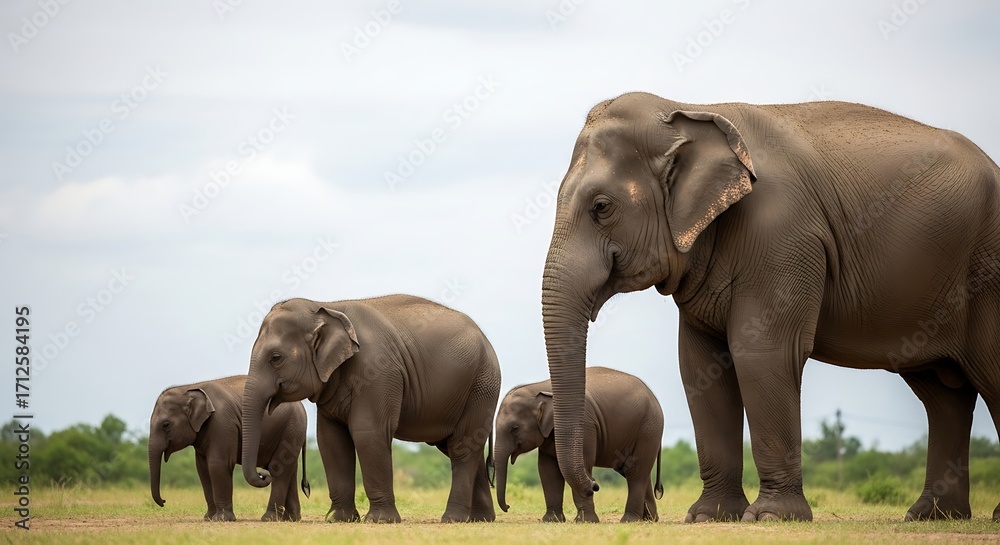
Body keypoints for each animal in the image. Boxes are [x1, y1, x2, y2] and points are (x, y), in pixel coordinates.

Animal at [148, 375, 310, 521]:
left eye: (166, 425)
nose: (164, 501)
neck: (188, 388)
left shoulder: (222, 423)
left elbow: (218, 463)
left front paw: (222, 519)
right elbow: (202, 468)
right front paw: (209, 518)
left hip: (291, 428)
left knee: (278, 468)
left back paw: (270, 518)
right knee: (290, 469)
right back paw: (291, 518)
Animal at [240, 295, 502, 523]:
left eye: (276, 358)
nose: (264, 474)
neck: (325, 306)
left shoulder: (379, 371)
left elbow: (368, 432)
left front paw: (380, 520)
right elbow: (331, 440)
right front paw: (339, 519)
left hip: (482, 385)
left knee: (462, 447)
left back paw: (452, 519)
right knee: (461, 446)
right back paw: (480, 519)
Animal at [495, 366, 664, 523]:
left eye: (514, 429)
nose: (508, 507)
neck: (538, 387)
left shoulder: (585, 426)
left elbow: (580, 462)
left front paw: (585, 521)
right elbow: (548, 470)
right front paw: (551, 520)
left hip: (648, 430)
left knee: (635, 471)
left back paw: (630, 520)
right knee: (634, 471)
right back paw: (649, 519)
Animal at [539, 91, 1000, 523]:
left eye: (601, 207)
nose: (596, 485)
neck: (687, 108)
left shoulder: (783, 234)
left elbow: (760, 354)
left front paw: (771, 516)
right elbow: (700, 365)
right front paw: (709, 516)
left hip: (986, 274)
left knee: (984, 376)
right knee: (943, 395)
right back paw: (933, 514)